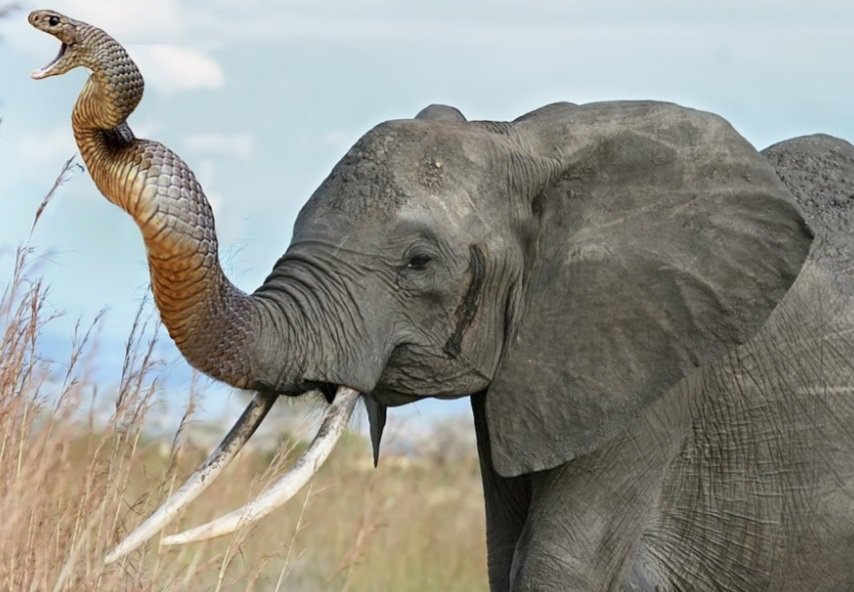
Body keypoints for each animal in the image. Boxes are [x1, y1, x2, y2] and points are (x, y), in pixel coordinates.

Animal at [29, 9, 854, 591]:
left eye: (419, 262)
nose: (53, 23)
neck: (524, 143)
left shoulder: (653, 374)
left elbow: (557, 569)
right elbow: (504, 560)